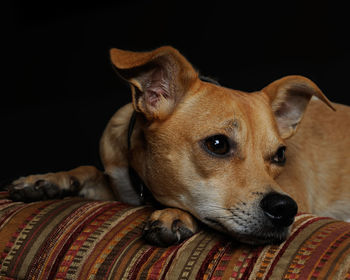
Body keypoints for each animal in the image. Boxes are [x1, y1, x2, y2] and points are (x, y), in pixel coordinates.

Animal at [8, 46, 350, 247]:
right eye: (217, 144)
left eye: (280, 155)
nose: (284, 209)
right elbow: (89, 170)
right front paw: (47, 181)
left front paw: (174, 215)